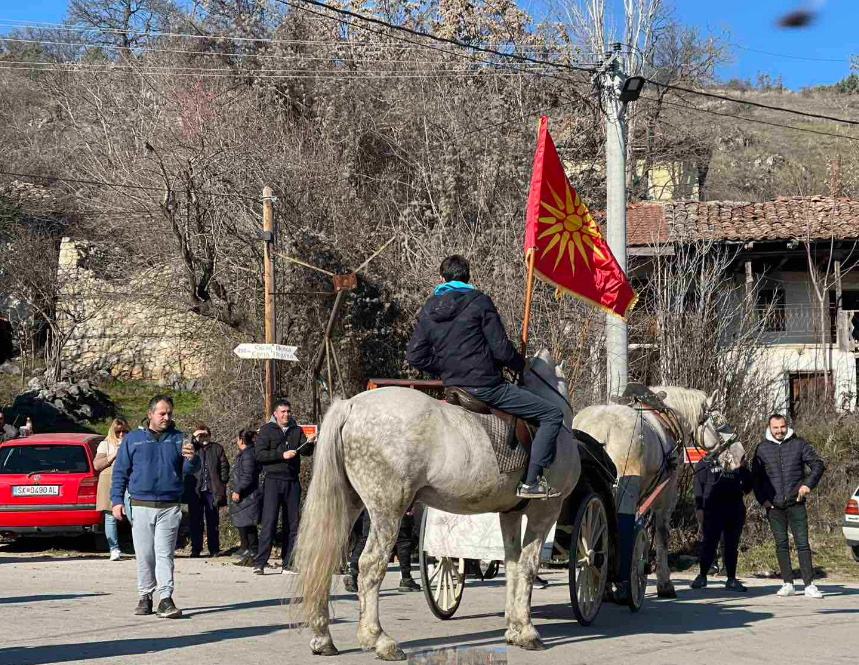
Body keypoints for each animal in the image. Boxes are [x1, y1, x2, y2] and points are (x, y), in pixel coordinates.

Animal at [292, 350, 580, 660]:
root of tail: (351, 405)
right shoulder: (545, 511)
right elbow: (528, 566)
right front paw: (527, 632)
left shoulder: (510, 515)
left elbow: (513, 564)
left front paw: (514, 628)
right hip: (387, 511)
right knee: (369, 565)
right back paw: (378, 639)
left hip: (350, 504)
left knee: (326, 559)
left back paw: (323, 638)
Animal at [572, 384, 740, 596]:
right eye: (719, 422)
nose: (740, 454)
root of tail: (600, 427)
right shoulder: (667, 492)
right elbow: (661, 534)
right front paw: (664, 583)